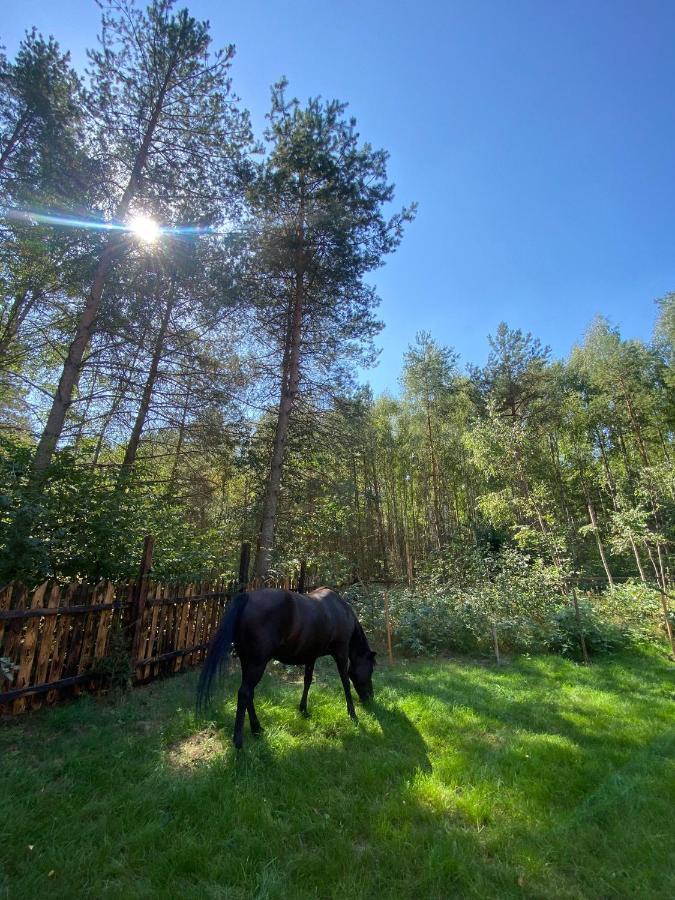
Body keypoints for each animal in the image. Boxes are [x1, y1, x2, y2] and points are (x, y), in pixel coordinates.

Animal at [195, 588, 378, 748]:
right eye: (370, 670)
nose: (369, 697)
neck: (340, 609)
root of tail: (247, 597)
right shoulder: (341, 652)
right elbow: (345, 682)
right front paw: (352, 714)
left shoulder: (311, 655)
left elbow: (307, 681)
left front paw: (303, 709)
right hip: (257, 663)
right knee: (244, 693)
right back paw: (239, 741)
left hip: (247, 662)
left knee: (249, 694)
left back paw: (257, 729)